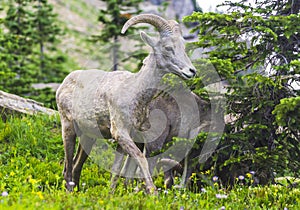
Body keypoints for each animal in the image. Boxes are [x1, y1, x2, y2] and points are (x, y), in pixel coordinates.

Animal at [56, 13, 197, 194]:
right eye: (167, 48)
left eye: (182, 47)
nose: (191, 71)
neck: (134, 91)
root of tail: (64, 84)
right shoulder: (121, 133)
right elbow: (140, 158)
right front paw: (152, 192)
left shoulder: (128, 139)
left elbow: (117, 169)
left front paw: (111, 194)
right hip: (68, 128)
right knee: (68, 166)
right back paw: (69, 192)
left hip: (88, 137)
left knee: (75, 165)